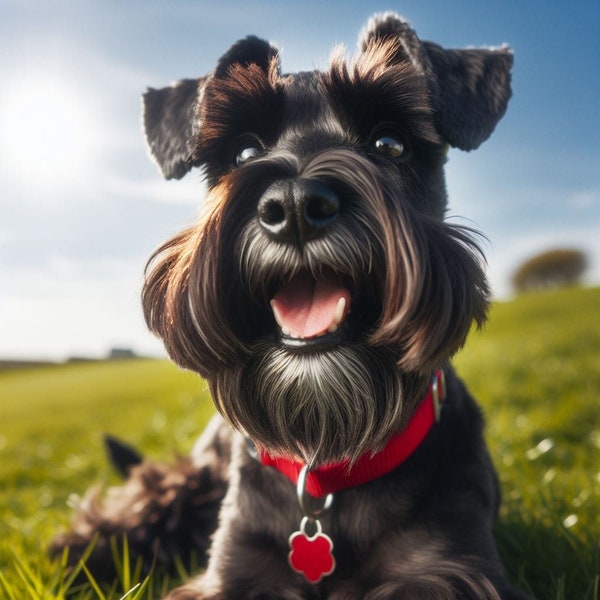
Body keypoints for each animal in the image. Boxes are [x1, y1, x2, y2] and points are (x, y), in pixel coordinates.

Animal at [52, 11, 528, 596]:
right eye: (243, 152)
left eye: (390, 143)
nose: (297, 205)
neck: (324, 465)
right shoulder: (233, 571)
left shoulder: (446, 568)